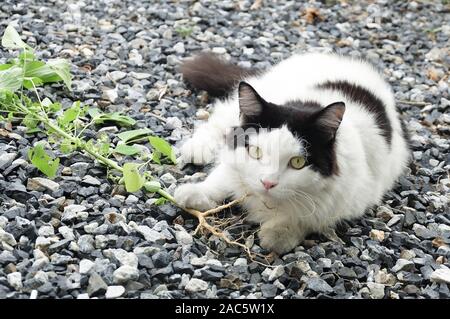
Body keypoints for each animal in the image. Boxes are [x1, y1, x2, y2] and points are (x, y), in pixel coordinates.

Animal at [173, 53, 412, 255]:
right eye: (256, 151)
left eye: (297, 162)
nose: (267, 183)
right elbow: (220, 179)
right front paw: (194, 193)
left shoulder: (351, 198)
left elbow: (306, 218)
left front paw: (278, 235)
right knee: (217, 121)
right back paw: (197, 150)